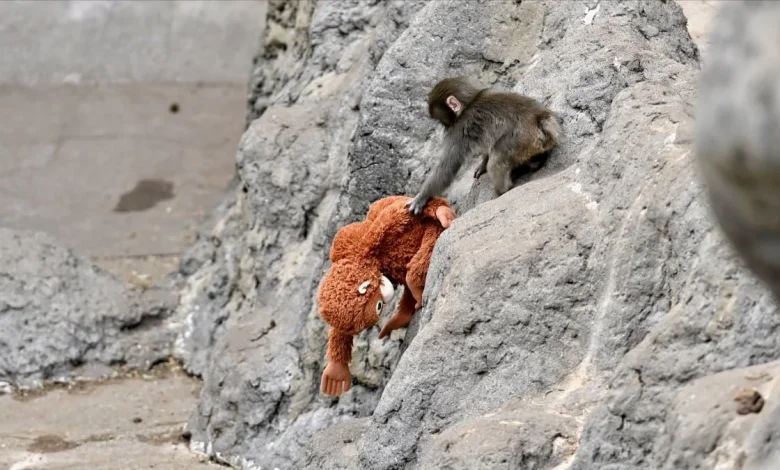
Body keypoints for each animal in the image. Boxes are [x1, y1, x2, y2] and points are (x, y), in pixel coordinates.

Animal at [408, 77, 564, 215]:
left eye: (441, 120)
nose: (444, 128)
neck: (470, 102)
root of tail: (540, 118)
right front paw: (482, 165)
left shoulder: (458, 129)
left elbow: (447, 166)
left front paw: (421, 197)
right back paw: (536, 162)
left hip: (519, 140)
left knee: (496, 161)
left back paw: (502, 190)